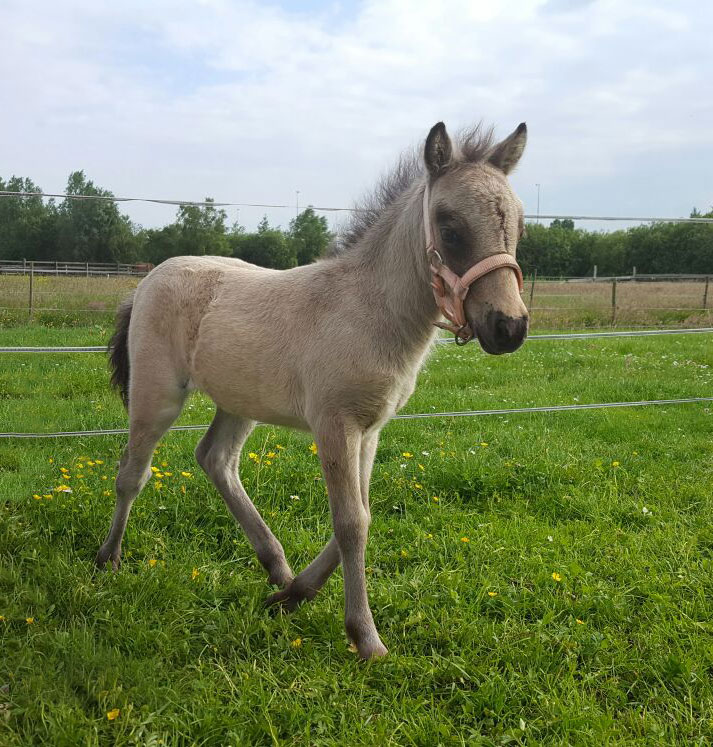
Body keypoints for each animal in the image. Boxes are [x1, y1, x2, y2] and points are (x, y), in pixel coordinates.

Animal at [98, 121, 528, 660]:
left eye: (520, 225)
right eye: (449, 227)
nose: (509, 327)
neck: (370, 312)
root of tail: (148, 279)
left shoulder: (370, 429)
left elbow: (363, 515)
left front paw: (296, 594)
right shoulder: (334, 424)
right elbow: (351, 523)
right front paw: (366, 638)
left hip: (240, 401)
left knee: (215, 458)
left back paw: (277, 569)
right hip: (158, 395)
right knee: (132, 473)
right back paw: (108, 558)